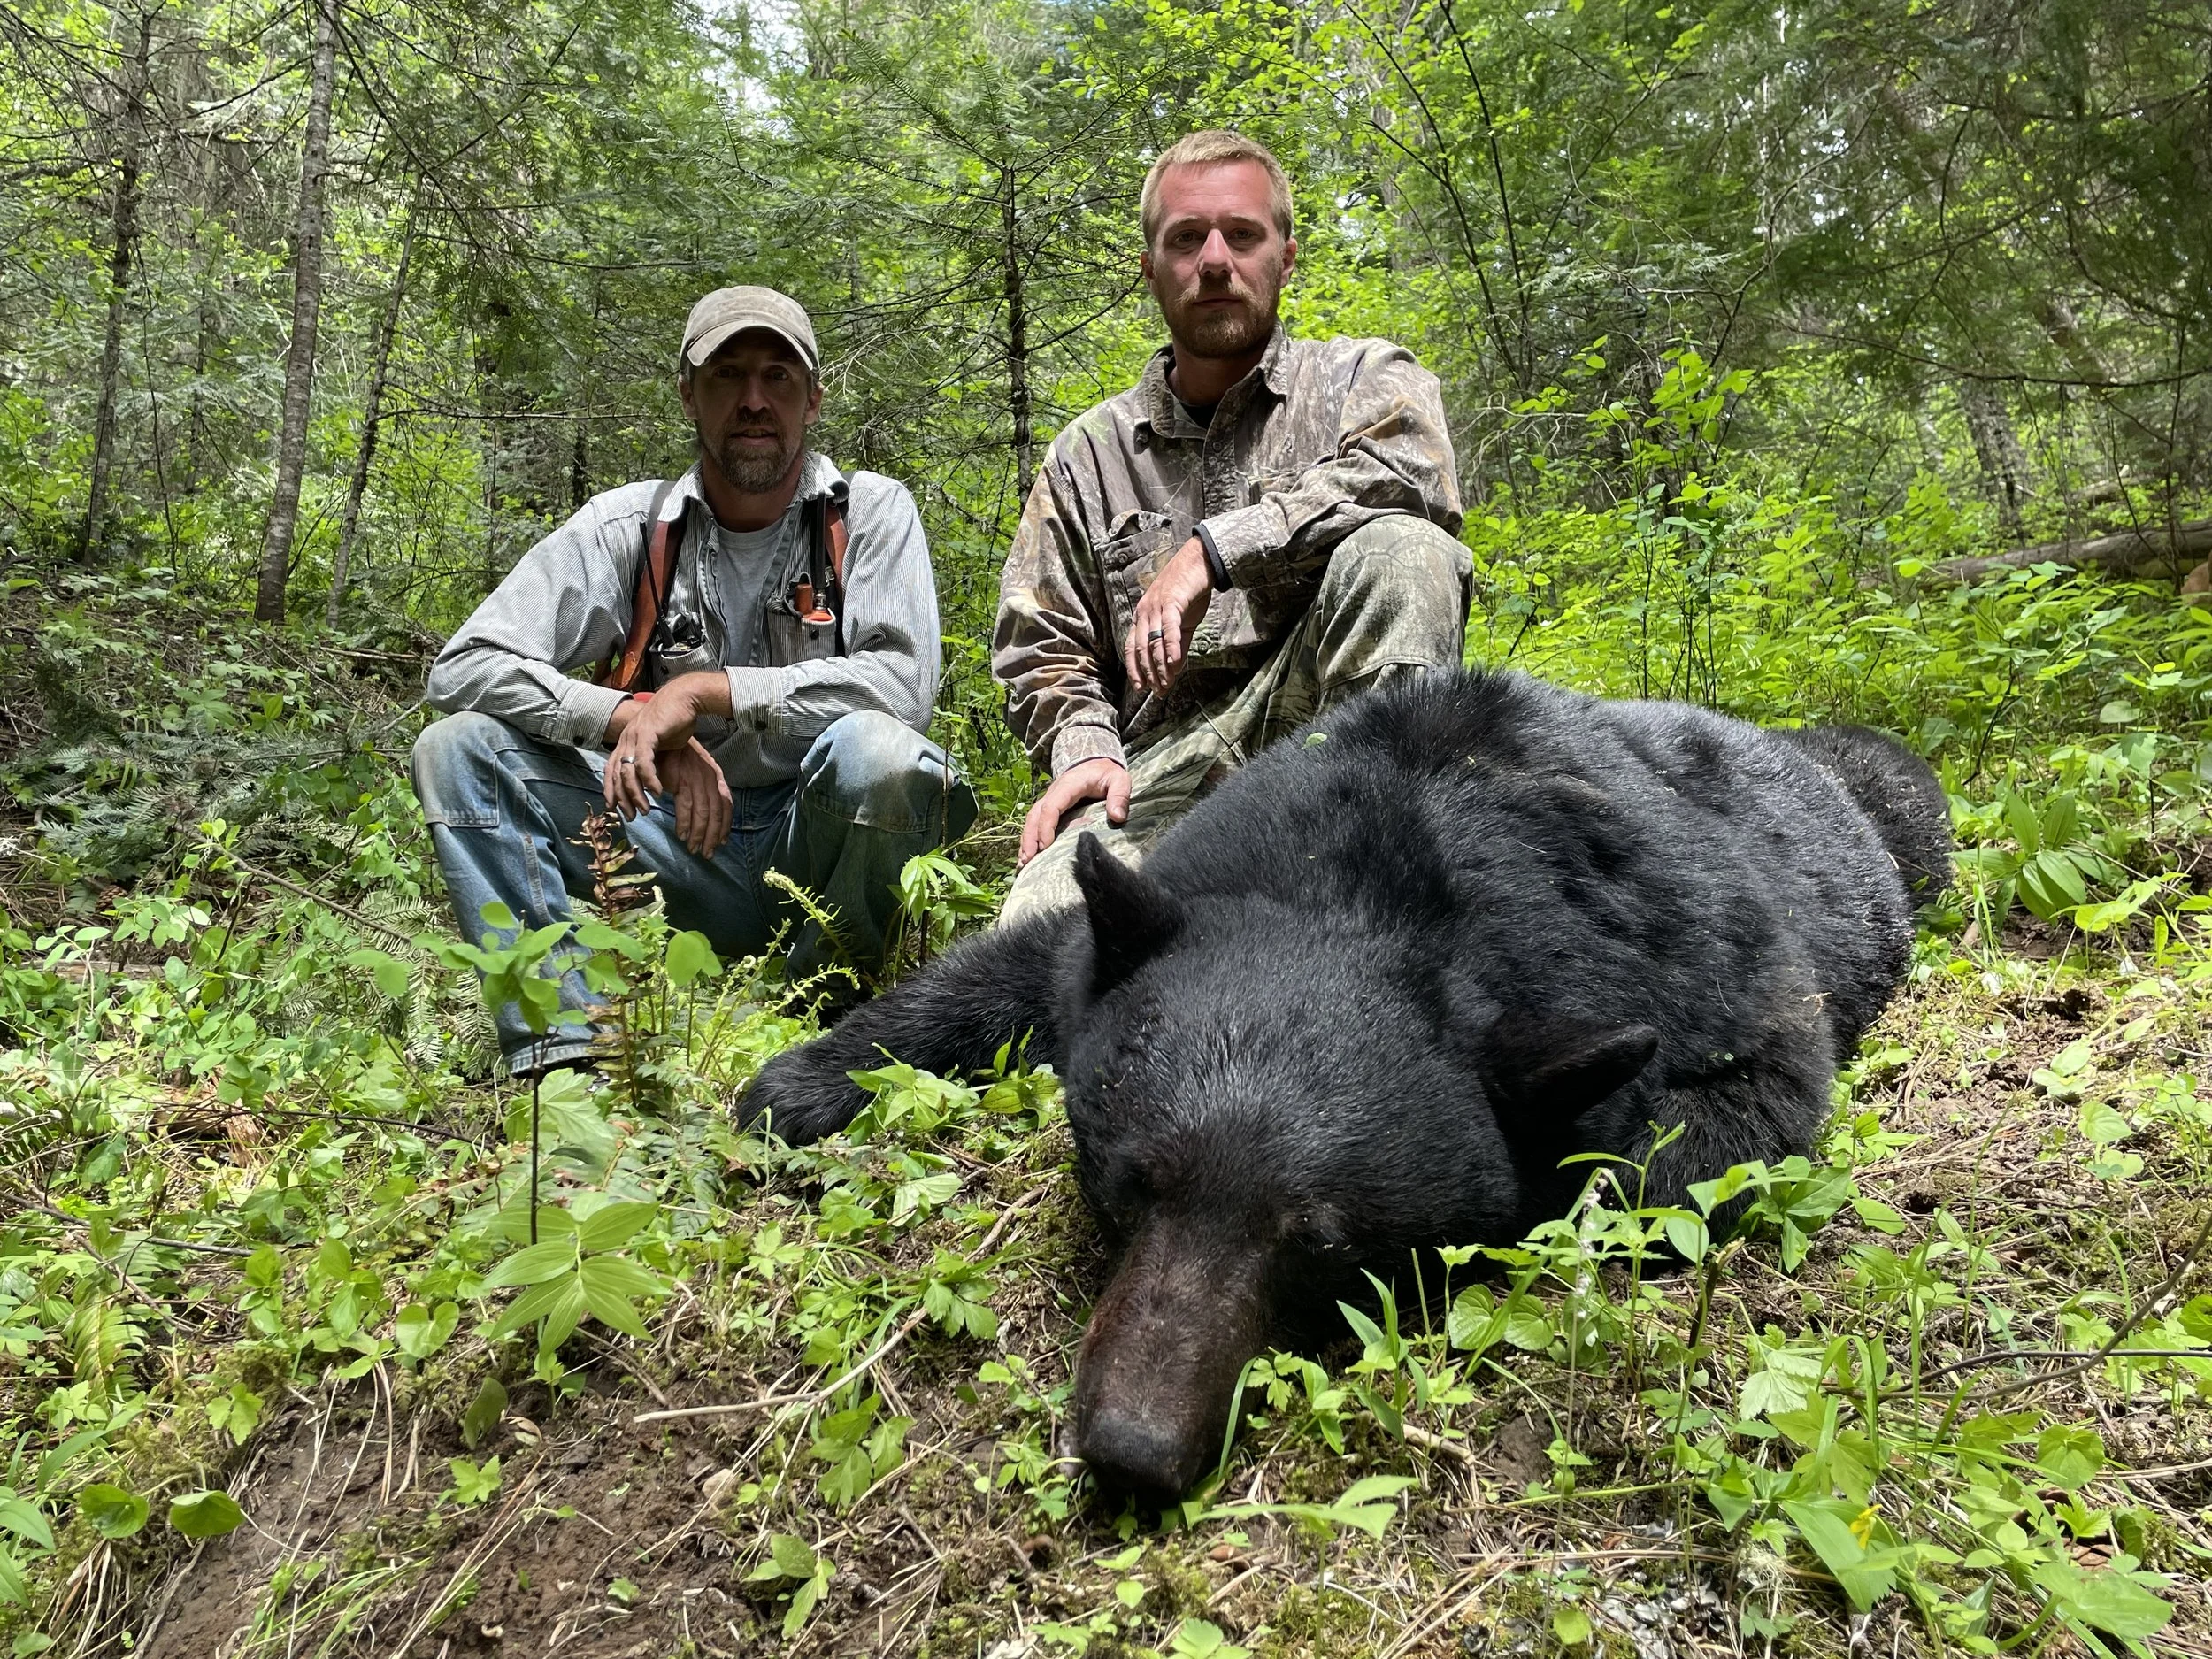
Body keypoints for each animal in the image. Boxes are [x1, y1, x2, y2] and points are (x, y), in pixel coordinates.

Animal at [745, 669, 1951, 1497]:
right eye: (1133, 1180)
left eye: (1320, 1242)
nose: (1134, 1447)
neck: (1400, 863)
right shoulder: (1166, 902)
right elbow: (1012, 967)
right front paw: (792, 1085)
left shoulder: (1709, 970)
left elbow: (1708, 1132)